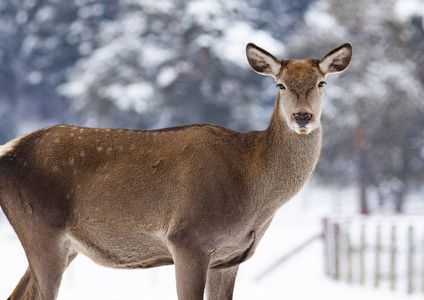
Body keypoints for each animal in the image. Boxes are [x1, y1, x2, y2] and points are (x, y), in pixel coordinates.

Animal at [0, 41, 352, 298]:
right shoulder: (188, 239)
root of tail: (7, 151)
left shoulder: (229, 259)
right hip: (41, 229)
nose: (303, 117)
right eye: (280, 85)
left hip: (64, 245)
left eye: (321, 82)